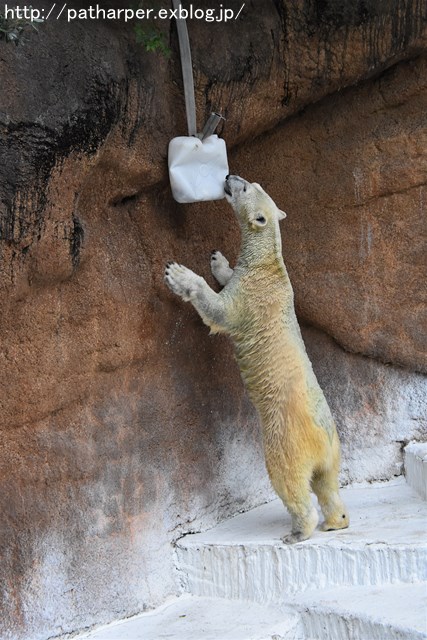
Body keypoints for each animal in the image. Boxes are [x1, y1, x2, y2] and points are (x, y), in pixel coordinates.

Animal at [166, 175, 350, 544]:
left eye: (246, 188)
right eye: (254, 182)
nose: (228, 177)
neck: (269, 263)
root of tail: (323, 439)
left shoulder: (250, 298)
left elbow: (220, 312)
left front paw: (180, 275)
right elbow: (228, 277)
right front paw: (218, 260)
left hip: (286, 440)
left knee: (290, 481)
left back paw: (298, 531)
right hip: (332, 450)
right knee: (327, 483)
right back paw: (336, 520)